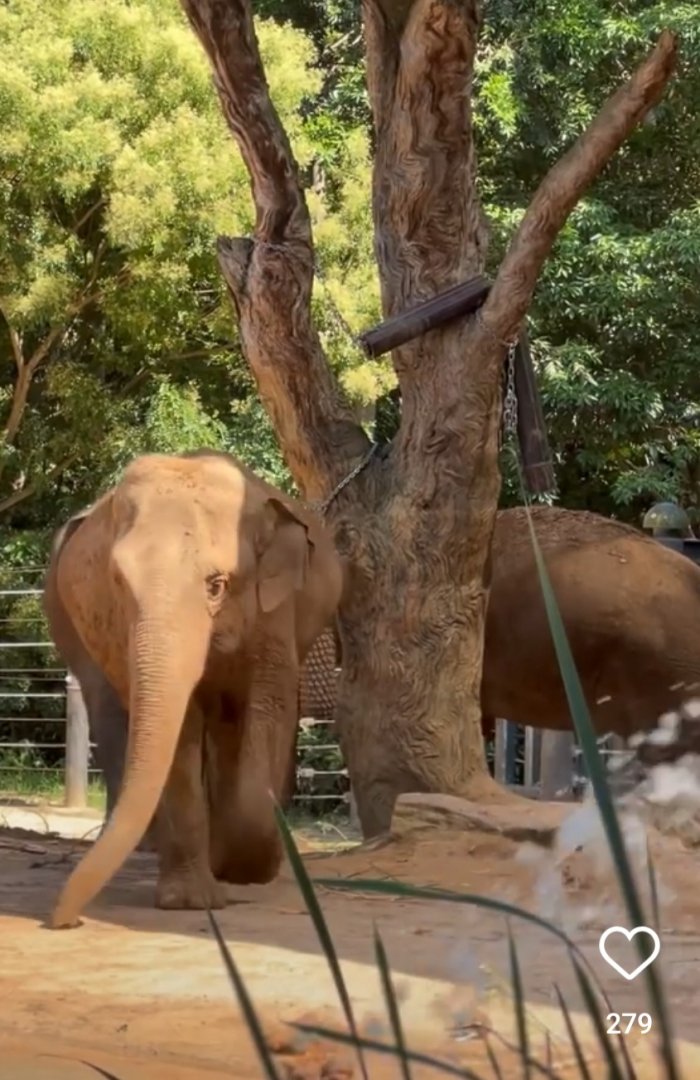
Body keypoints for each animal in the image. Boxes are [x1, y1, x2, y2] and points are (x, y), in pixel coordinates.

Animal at [42, 450, 343, 928]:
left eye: (216, 585)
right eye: (118, 583)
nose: (65, 920)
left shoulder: (274, 612)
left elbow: (269, 708)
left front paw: (244, 868)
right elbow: (180, 731)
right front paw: (190, 900)